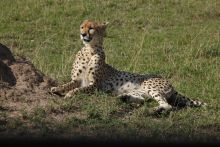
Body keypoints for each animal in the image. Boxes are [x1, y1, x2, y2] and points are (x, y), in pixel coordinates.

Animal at [50, 19, 207, 113]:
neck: (89, 49)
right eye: (82, 27)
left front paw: (70, 94)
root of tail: (169, 82)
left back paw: (153, 110)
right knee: (143, 99)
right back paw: (123, 98)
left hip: (151, 87)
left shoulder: (94, 85)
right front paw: (56, 88)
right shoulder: (77, 80)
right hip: (140, 91)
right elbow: (68, 84)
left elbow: (79, 89)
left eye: (91, 28)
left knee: (167, 105)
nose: (82, 34)